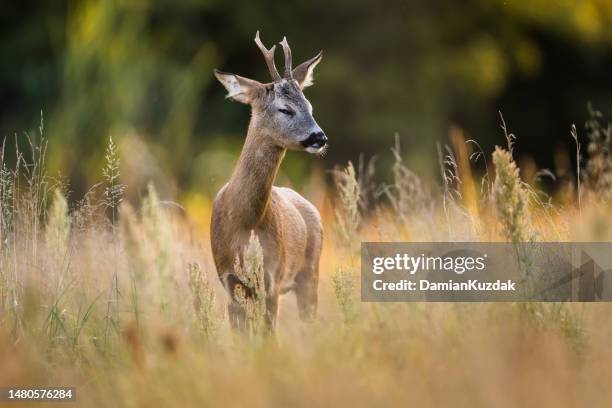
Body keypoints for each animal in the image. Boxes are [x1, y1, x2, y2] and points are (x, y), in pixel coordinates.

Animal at [210, 31, 326, 332]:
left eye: (310, 106)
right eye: (285, 109)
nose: (319, 137)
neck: (244, 222)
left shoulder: (272, 278)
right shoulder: (229, 281)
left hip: (310, 271)